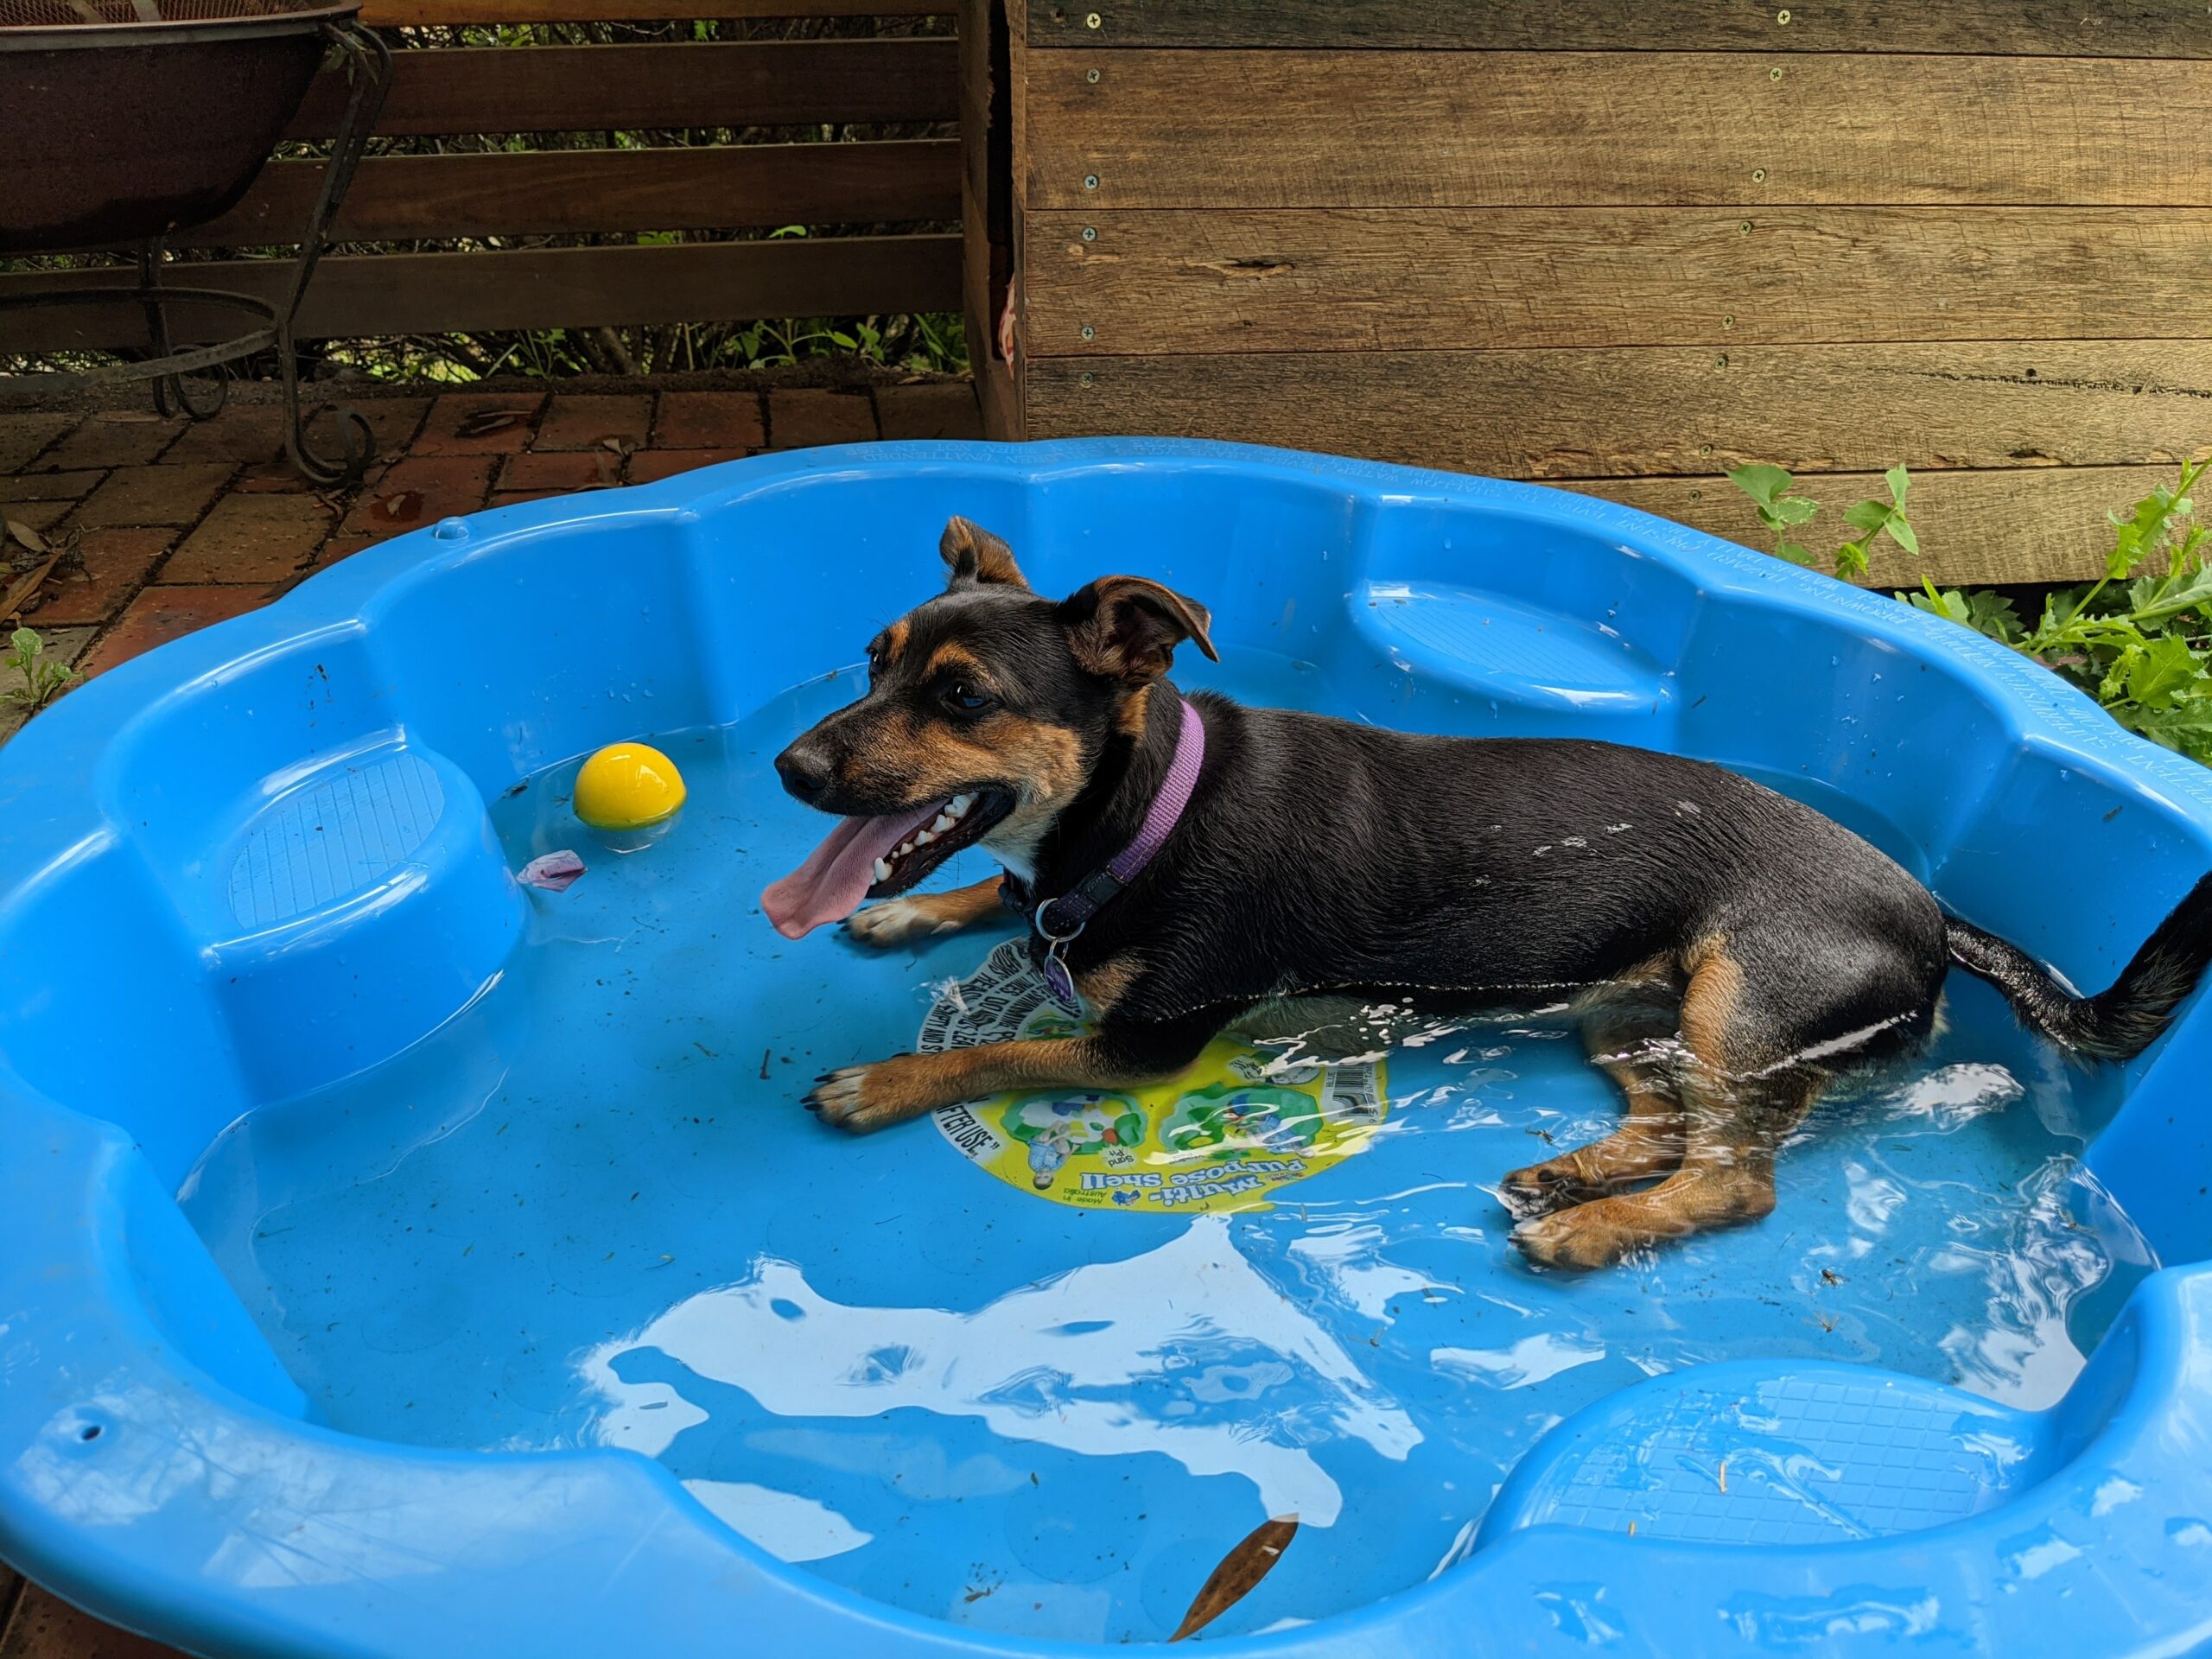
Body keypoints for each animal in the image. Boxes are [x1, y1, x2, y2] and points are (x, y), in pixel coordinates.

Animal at [765, 519, 2212, 1274]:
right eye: (871, 661)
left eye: (961, 699)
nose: (790, 768)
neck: (1145, 809)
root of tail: (1933, 912)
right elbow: (1003, 903)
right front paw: (911, 912)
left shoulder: (1147, 1046)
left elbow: (996, 1051)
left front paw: (881, 1080)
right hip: (1630, 1007)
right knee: (1673, 1118)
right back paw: (1571, 1175)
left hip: (1744, 997)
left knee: (1738, 1178)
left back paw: (1592, 1230)